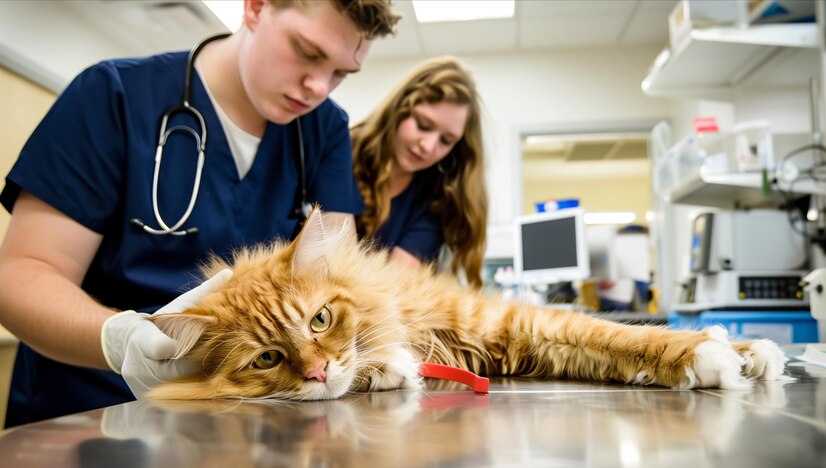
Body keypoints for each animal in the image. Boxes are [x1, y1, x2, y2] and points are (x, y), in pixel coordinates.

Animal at [146, 211, 784, 398]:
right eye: (268, 359)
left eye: (320, 320)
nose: (318, 370)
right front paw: (386, 369)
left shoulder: (515, 323)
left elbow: (621, 336)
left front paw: (707, 353)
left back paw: (751, 349)